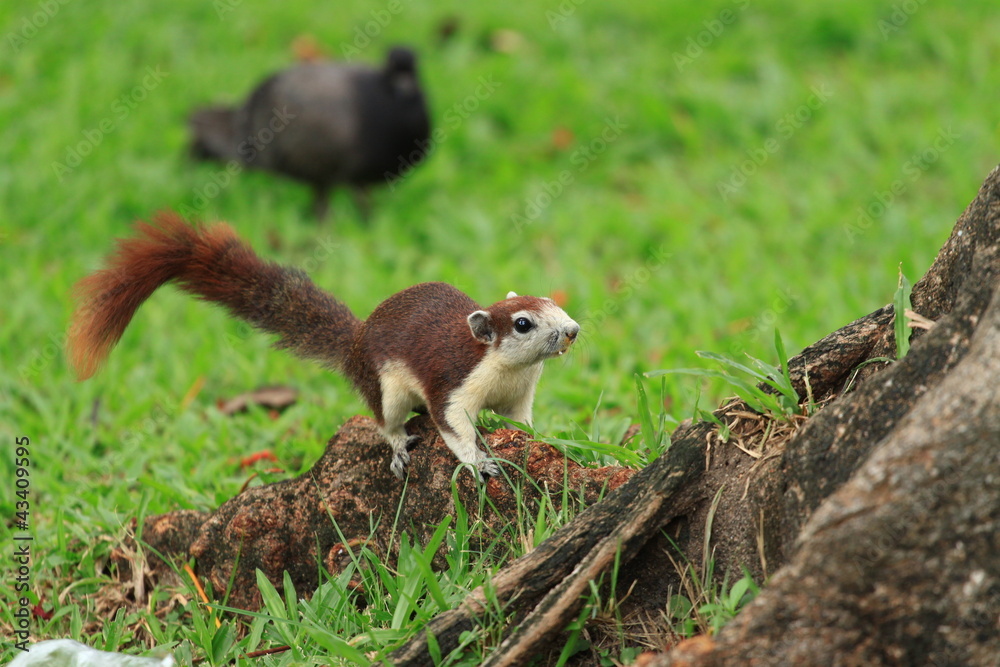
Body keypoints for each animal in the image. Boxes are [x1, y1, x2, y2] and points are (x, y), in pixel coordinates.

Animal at [68, 213, 580, 479]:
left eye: (554, 301)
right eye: (522, 324)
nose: (573, 330)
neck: (507, 370)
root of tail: (354, 344)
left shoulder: (519, 395)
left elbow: (521, 422)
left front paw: (547, 439)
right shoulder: (451, 382)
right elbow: (453, 426)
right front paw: (480, 463)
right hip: (384, 386)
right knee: (385, 418)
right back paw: (399, 445)